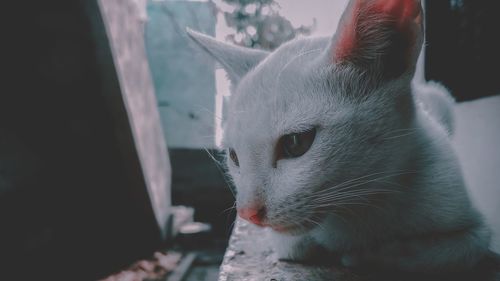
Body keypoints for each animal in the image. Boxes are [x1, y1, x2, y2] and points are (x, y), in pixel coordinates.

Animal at [189, 0, 490, 272]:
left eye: (296, 143)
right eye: (234, 156)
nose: (248, 214)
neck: (364, 201)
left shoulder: (478, 233)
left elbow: (452, 250)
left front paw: (372, 254)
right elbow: (294, 245)